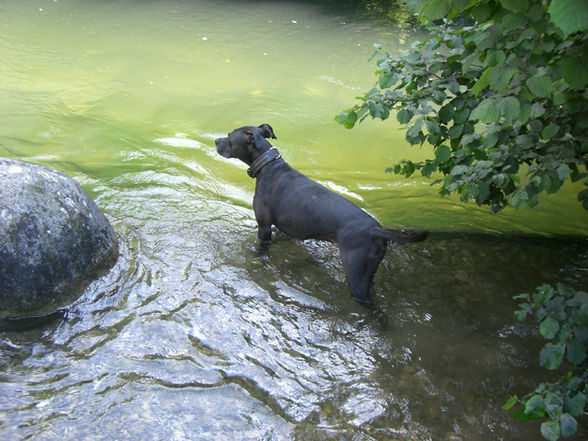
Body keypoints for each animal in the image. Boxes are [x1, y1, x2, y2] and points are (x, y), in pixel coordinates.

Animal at [215, 122, 422, 304]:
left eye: (229, 137)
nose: (216, 140)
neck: (268, 166)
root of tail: (376, 230)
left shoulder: (264, 227)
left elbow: (260, 250)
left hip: (356, 276)